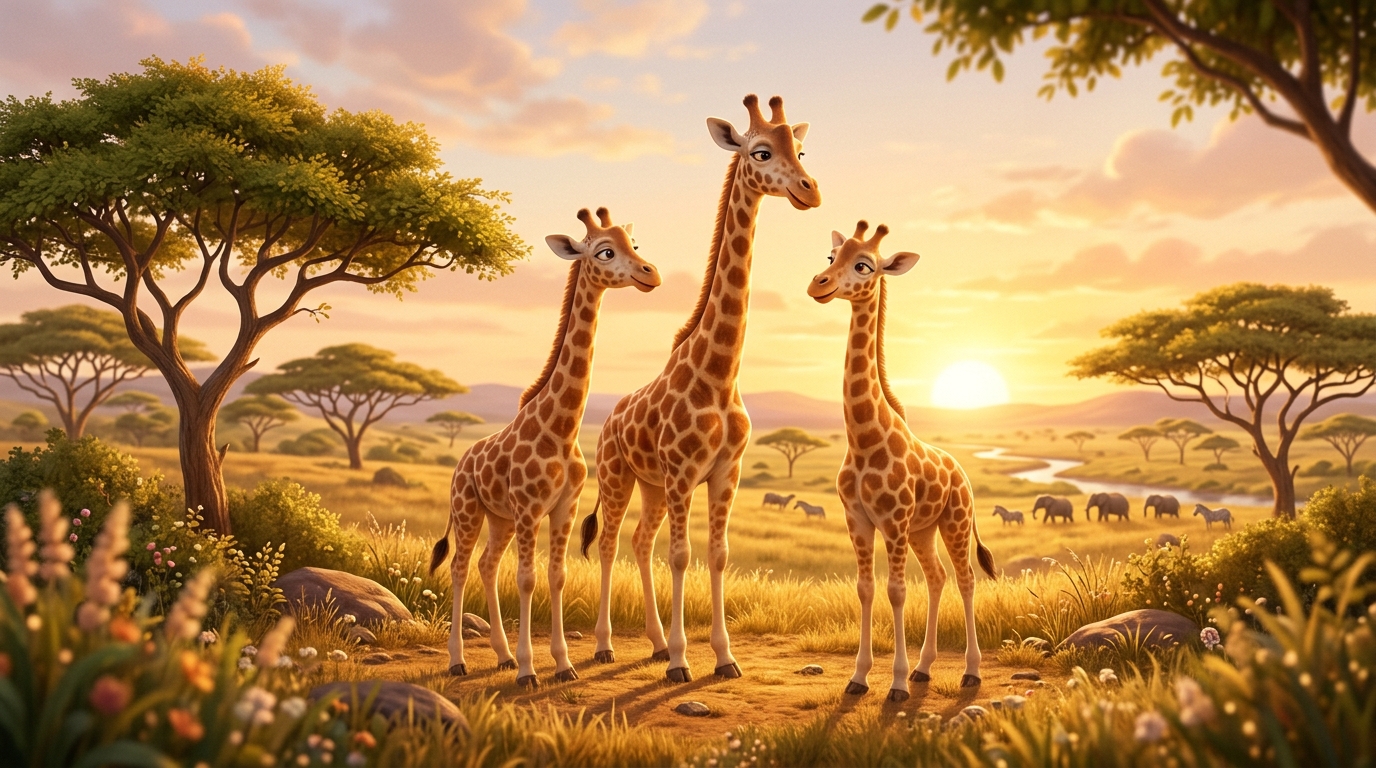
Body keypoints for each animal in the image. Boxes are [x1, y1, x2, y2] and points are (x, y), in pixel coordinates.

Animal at [429, 207, 661, 688]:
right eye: (605, 251)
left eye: (634, 243)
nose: (651, 274)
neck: (562, 429)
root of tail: (460, 463)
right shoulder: (529, 508)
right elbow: (527, 579)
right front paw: (529, 670)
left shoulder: (563, 507)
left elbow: (556, 576)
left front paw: (563, 664)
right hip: (468, 509)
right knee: (460, 567)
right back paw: (459, 660)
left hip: (499, 518)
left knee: (486, 565)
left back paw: (500, 655)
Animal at [578, 94, 820, 683]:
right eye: (761, 151)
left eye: (801, 150)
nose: (810, 190)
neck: (720, 374)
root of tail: (609, 419)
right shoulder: (685, 472)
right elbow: (682, 555)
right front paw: (682, 662)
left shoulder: (725, 472)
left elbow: (718, 554)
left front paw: (724, 657)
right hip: (619, 475)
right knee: (612, 543)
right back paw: (607, 646)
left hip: (653, 484)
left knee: (640, 541)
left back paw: (652, 643)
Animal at [806, 221, 996, 701]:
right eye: (830, 255)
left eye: (864, 265)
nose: (819, 284)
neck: (864, 439)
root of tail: (963, 473)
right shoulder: (858, 519)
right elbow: (865, 588)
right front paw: (859, 678)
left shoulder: (892, 521)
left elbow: (895, 590)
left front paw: (895, 683)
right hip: (922, 531)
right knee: (937, 577)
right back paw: (925, 669)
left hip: (954, 521)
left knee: (965, 578)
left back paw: (970, 672)